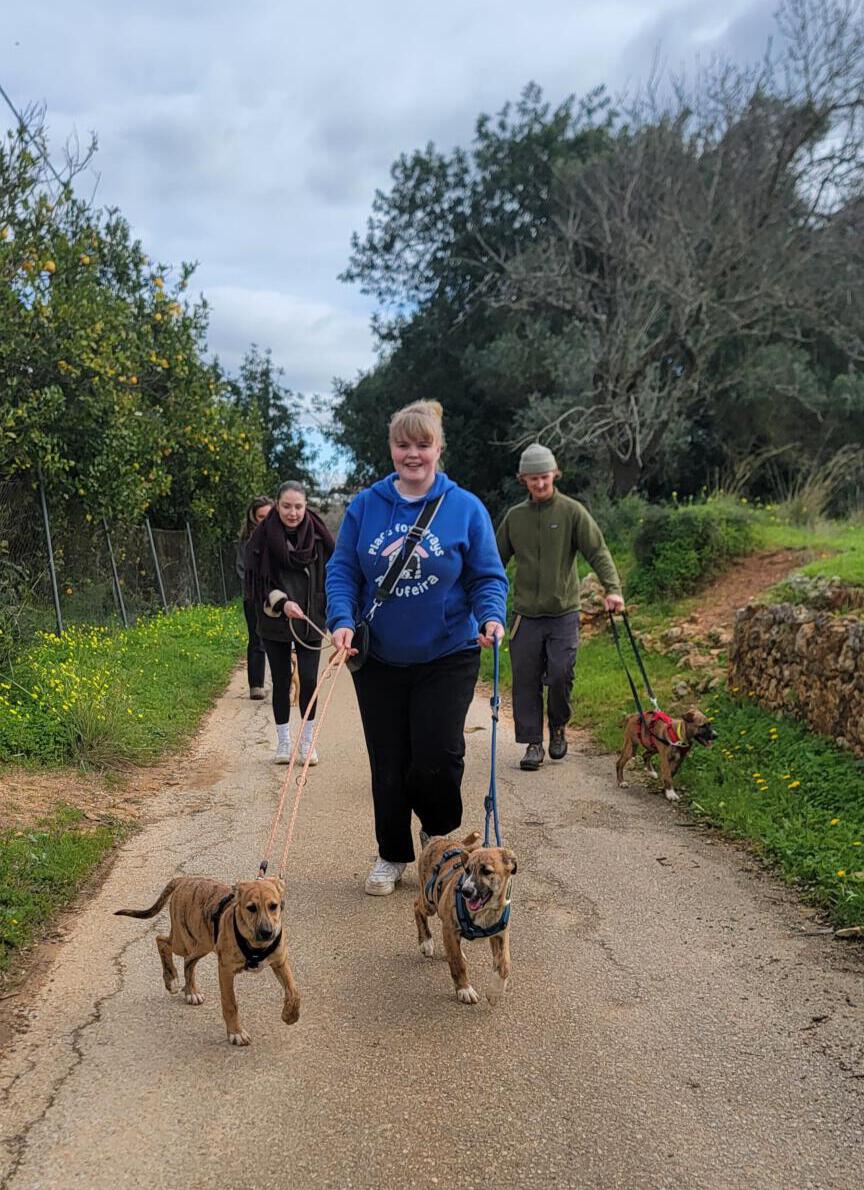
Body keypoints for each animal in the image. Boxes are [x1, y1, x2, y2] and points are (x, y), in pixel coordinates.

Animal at [115, 875, 299, 1046]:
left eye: (274, 906)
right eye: (251, 908)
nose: (267, 932)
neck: (256, 944)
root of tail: (185, 879)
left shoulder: (280, 962)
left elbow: (294, 991)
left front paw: (290, 1015)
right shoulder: (226, 970)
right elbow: (230, 1004)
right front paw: (236, 1033)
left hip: (202, 943)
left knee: (188, 962)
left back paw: (191, 992)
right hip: (185, 941)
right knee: (162, 941)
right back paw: (171, 979)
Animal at [414, 830, 517, 1007]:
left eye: (486, 871)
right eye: (467, 870)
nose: (466, 891)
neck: (485, 911)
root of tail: (435, 839)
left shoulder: (501, 934)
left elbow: (504, 964)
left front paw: (495, 991)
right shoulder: (449, 928)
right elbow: (457, 964)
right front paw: (464, 990)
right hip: (429, 902)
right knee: (416, 906)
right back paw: (426, 942)